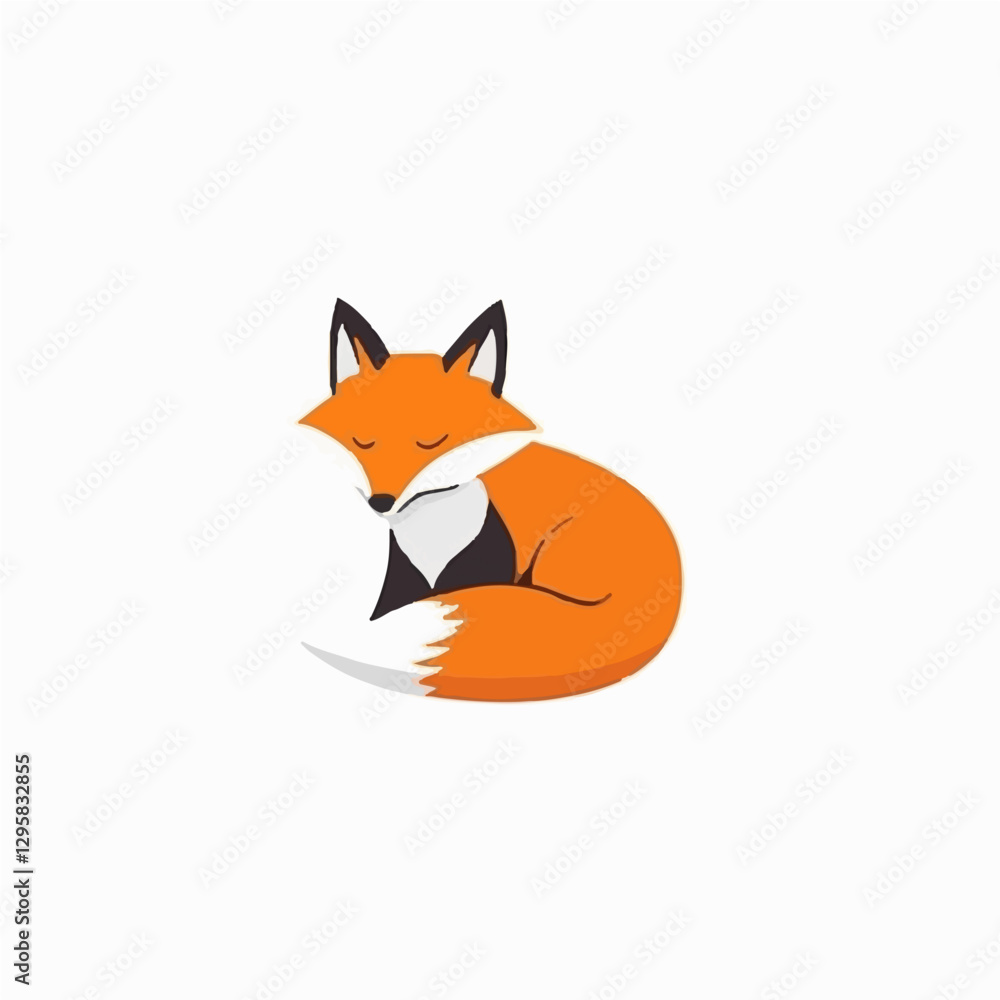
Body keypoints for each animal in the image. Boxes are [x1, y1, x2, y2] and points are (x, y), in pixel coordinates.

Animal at [298, 299, 682, 702]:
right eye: (363, 442)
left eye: (432, 442)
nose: (381, 502)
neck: (433, 536)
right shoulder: (402, 584)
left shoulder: (485, 569)